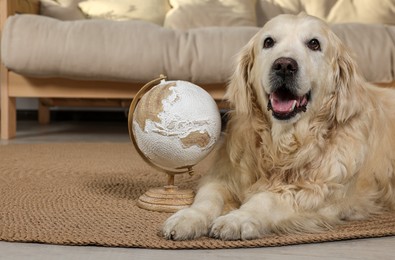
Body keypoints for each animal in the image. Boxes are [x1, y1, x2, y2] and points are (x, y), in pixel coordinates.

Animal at [162, 13, 395, 241]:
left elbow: (267, 199)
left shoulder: (319, 193)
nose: (284, 65)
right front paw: (188, 217)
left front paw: (237, 219)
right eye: (268, 42)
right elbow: (209, 197)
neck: (282, 143)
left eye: (314, 44)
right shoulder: (224, 176)